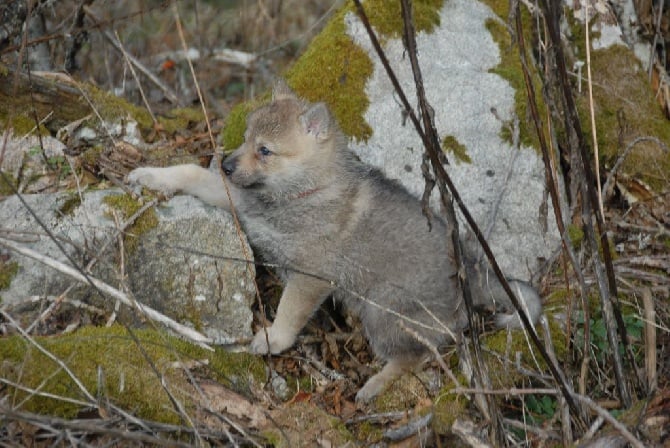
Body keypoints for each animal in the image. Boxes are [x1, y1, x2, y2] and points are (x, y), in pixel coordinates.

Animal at [129, 81, 544, 402]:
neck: (300, 192)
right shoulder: (237, 200)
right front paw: (152, 175)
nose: (227, 165)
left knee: (420, 356)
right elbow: (191, 173)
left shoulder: (310, 276)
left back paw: (374, 385)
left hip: (383, 310)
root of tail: (474, 277)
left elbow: (289, 311)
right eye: (246, 139)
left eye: (265, 150)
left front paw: (273, 340)